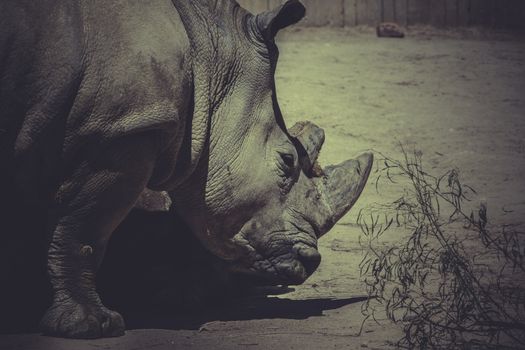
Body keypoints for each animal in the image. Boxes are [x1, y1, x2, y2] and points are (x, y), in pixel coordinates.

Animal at [0, 0, 372, 340]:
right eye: (287, 161)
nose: (310, 261)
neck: (207, 58)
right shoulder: (122, 131)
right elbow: (85, 229)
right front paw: (91, 326)